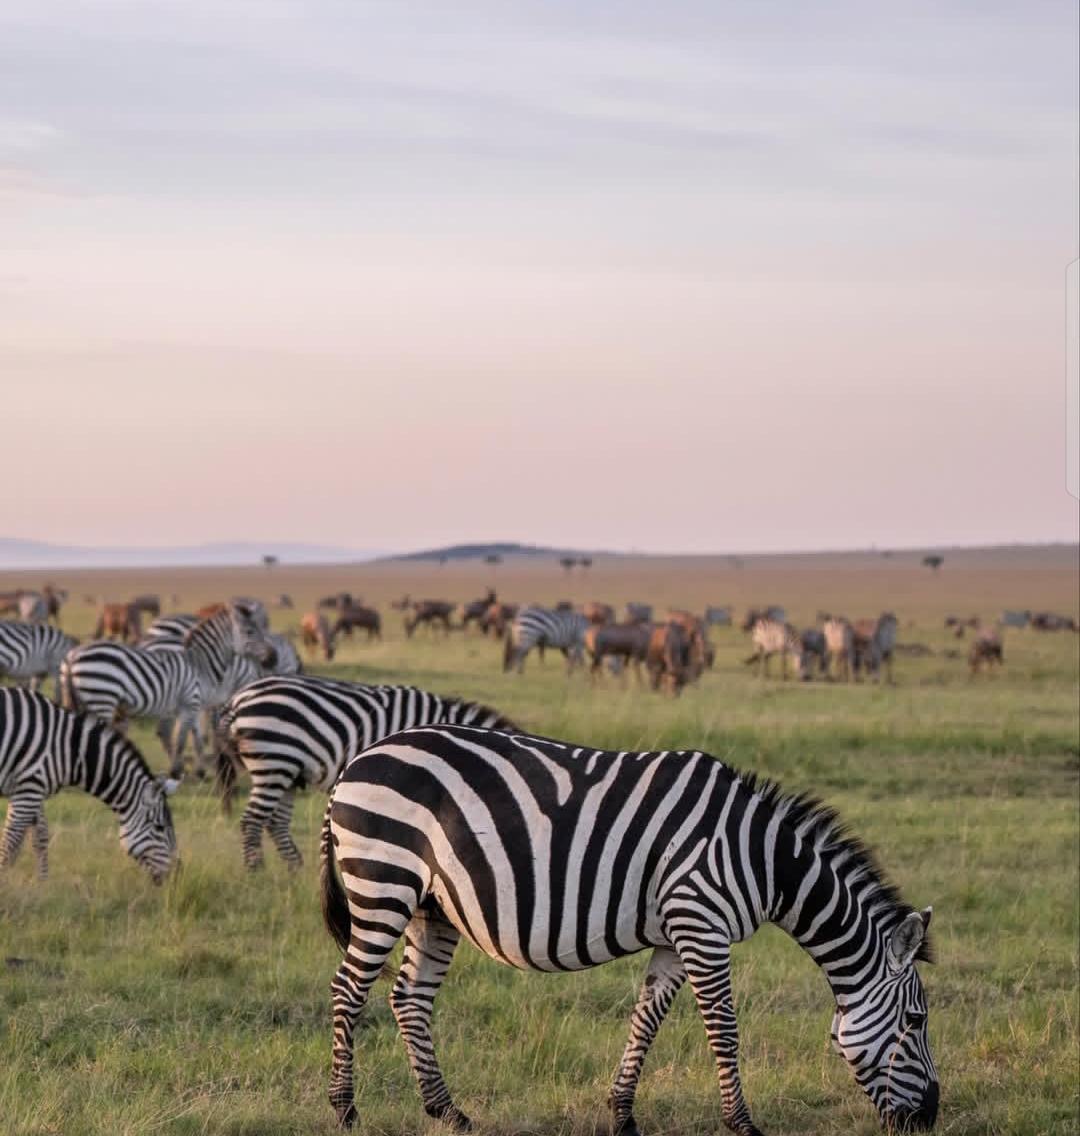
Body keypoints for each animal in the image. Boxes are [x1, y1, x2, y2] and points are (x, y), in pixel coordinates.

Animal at [0, 688, 178, 882]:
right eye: (159, 828)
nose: (175, 875)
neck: (70, 750)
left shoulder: (33, 789)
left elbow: (40, 836)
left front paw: (41, 883)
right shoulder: (29, 787)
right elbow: (10, 842)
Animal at [215, 674, 516, 870]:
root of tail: (237, 699)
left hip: (288, 770)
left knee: (275, 822)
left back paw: (295, 871)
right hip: (275, 760)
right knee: (252, 820)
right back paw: (256, 870)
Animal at [321, 725, 939, 1133]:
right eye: (916, 1020)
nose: (931, 1117)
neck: (761, 858)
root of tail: (357, 762)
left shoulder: (674, 935)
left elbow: (646, 1020)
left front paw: (622, 1115)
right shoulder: (702, 923)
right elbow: (724, 1029)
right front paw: (742, 1124)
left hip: (433, 906)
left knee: (409, 998)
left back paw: (447, 1110)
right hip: (383, 882)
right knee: (349, 990)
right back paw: (346, 1108)